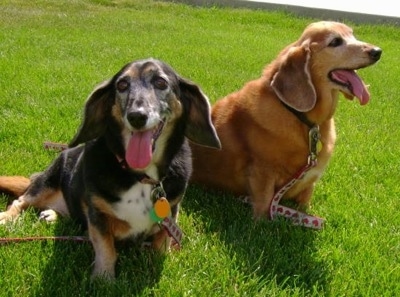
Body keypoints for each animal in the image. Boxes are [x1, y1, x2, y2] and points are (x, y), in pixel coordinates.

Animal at [0, 57, 219, 278]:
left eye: (160, 82)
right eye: (122, 85)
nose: (136, 116)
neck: (140, 175)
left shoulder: (171, 211)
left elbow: (160, 245)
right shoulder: (98, 215)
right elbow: (106, 248)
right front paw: (103, 278)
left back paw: (51, 214)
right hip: (47, 182)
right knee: (20, 201)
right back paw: (6, 218)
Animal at [190, 21, 382, 222]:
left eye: (353, 34)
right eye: (335, 41)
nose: (377, 51)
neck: (302, 119)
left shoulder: (308, 181)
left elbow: (305, 198)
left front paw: (303, 213)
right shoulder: (262, 171)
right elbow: (264, 201)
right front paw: (262, 223)